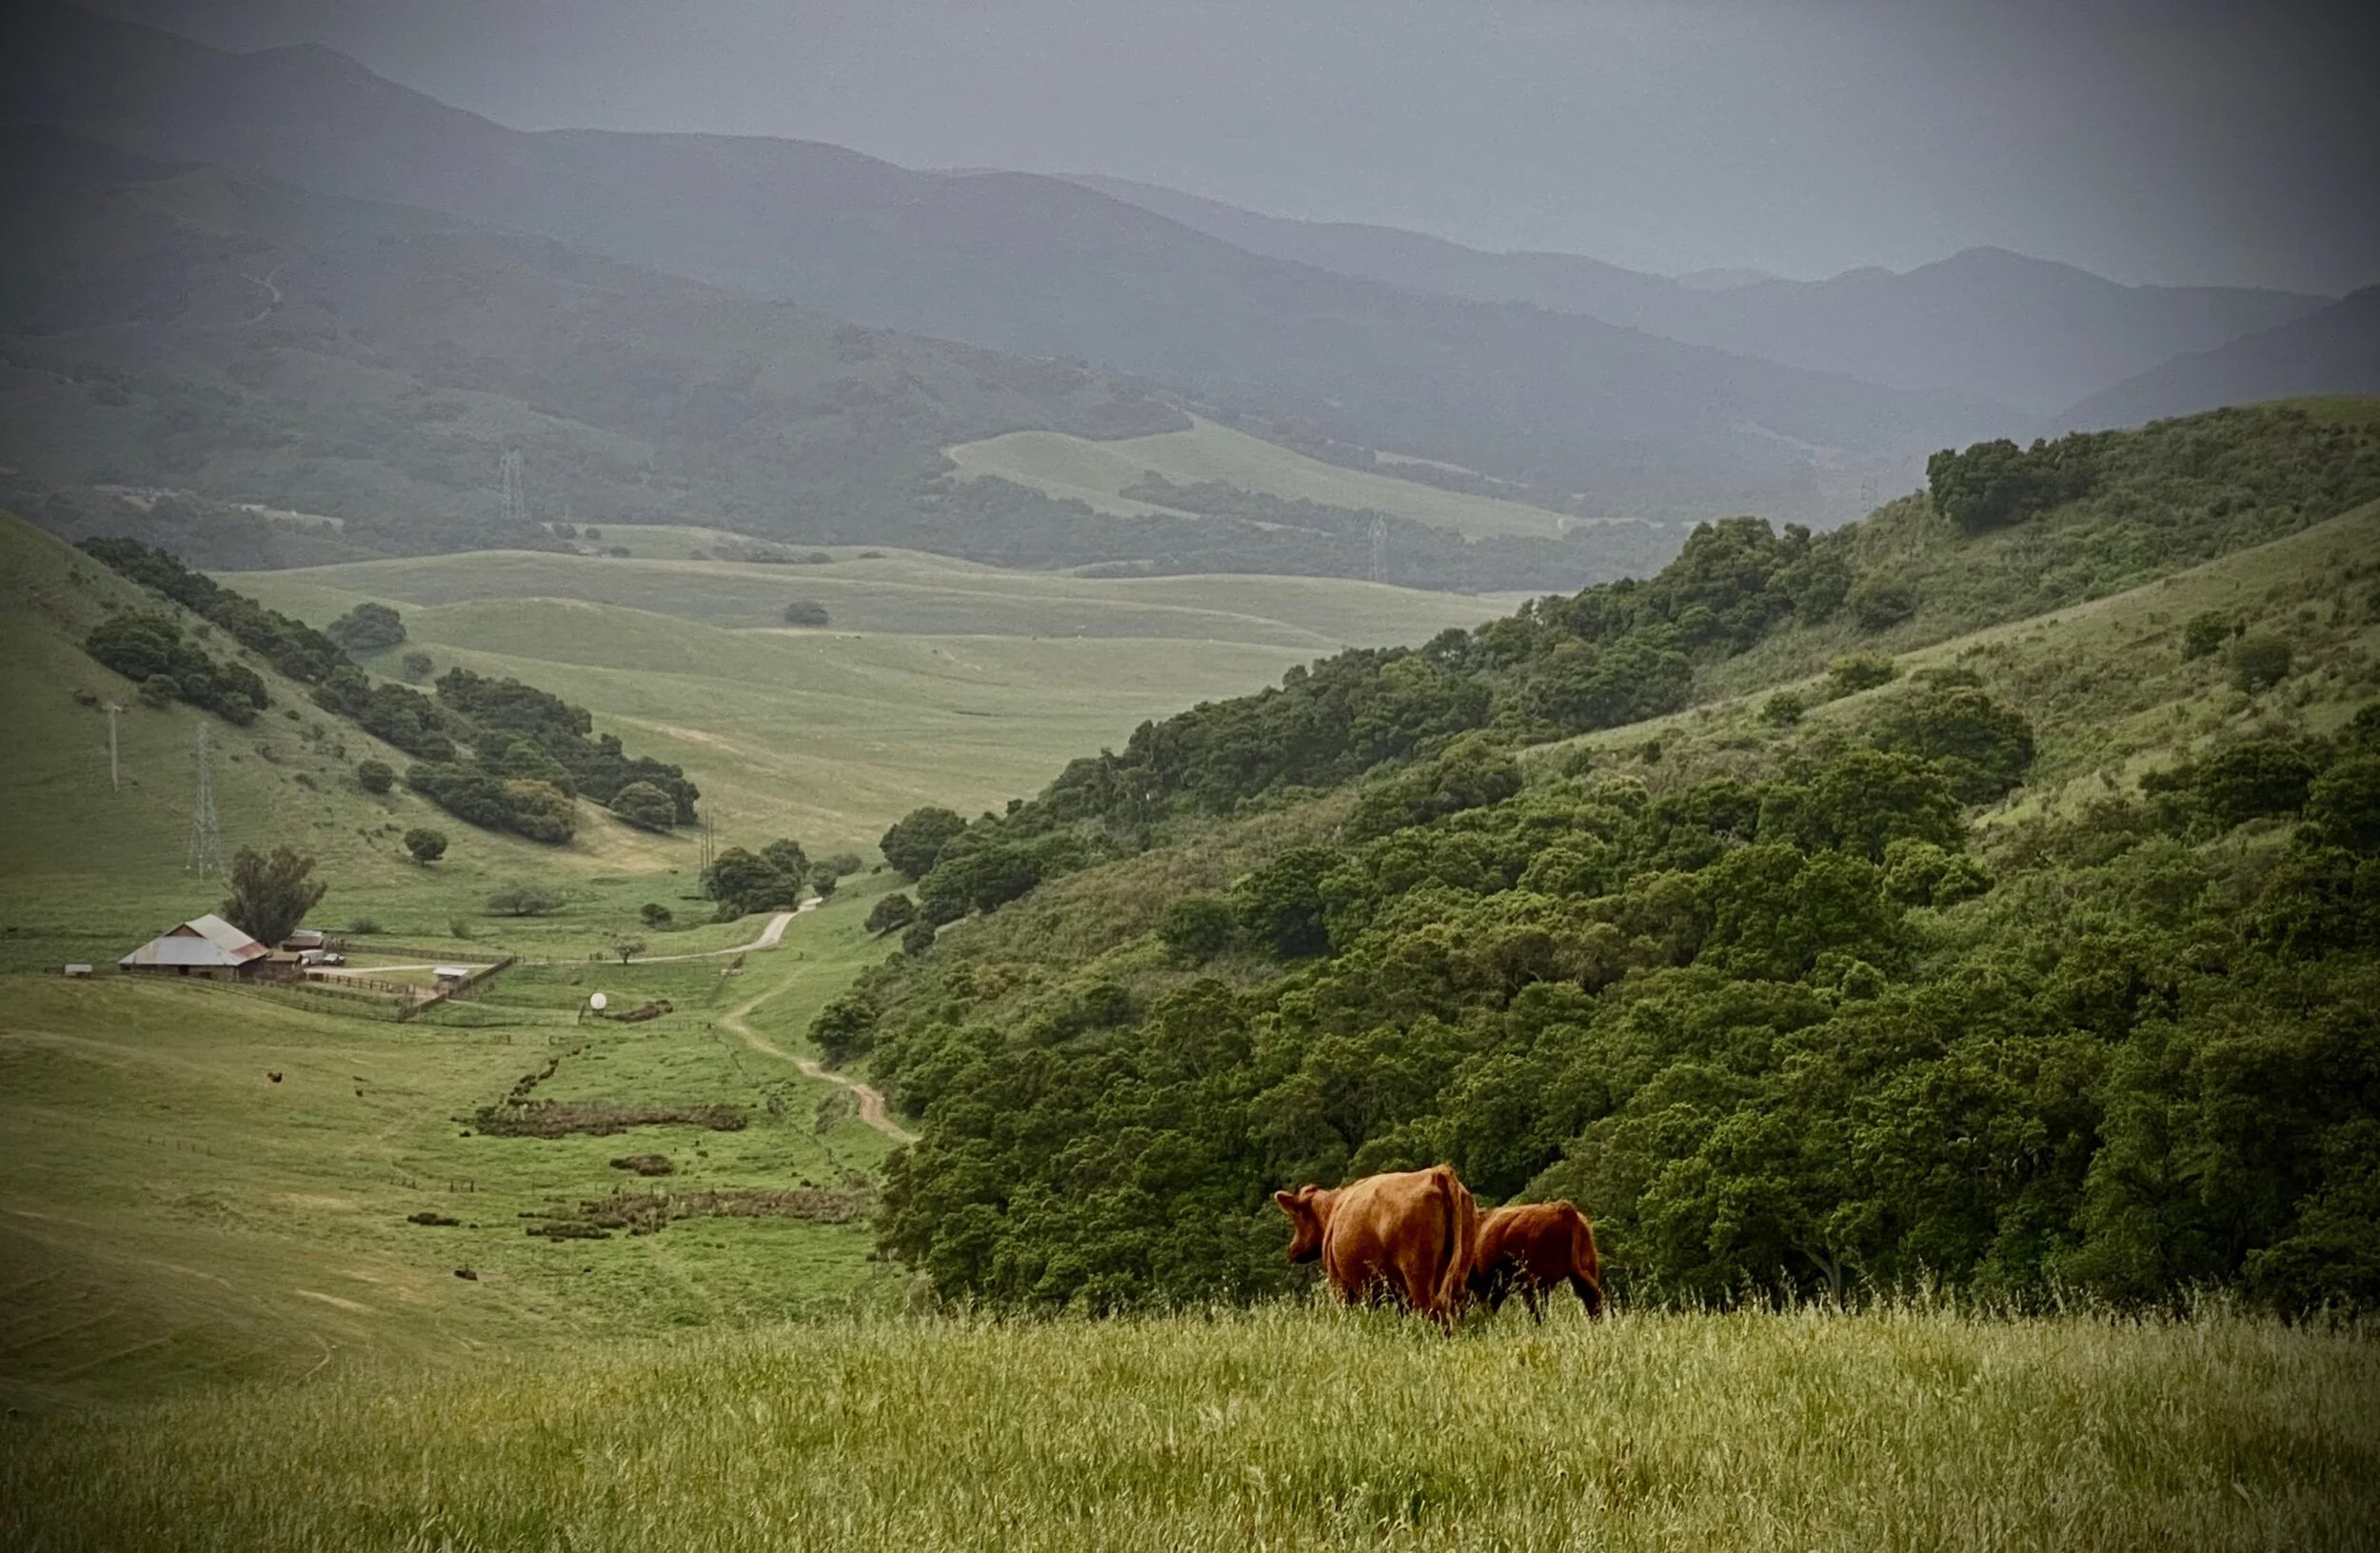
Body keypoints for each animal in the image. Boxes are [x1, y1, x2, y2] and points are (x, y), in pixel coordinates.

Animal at [1274, 1164, 1478, 1327]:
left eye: (1296, 1217)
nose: (1292, 1250)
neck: (1332, 1210)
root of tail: (1437, 1173)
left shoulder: (1341, 1283)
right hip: (1458, 1272)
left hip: (1418, 1274)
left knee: (1434, 1309)